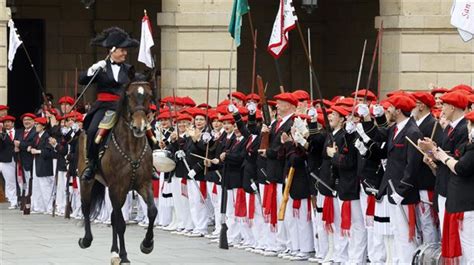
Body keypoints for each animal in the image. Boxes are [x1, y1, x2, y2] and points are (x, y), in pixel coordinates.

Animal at [76, 75, 157, 262]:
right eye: (128, 95)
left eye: (149, 95)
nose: (139, 127)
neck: (132, 147)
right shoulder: (116, 187)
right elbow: (120, 224)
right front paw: (125, 256)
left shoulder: (143, 184)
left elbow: (152, 211)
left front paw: (147, 244)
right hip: (87, 182)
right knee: (86, 207)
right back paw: (87, 240)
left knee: (113, 215)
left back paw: (114, 251)